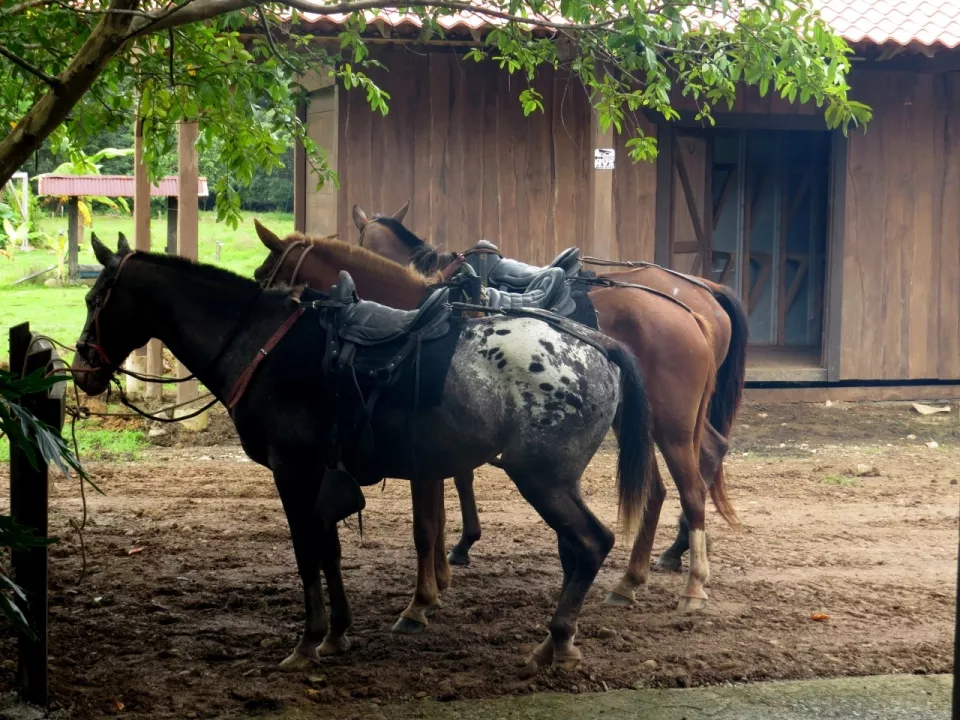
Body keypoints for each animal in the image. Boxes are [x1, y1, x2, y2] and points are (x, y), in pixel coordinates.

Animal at [75, 232, 656, 676]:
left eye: (95, 299)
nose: (83, 370)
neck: (263, 346)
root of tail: (593, 344)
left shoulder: (293, 472)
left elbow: (307, 554)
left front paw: (309, 640)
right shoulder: (320, 477)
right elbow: (330, 552)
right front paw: (337, 633)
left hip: (543, 480)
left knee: (592, 542)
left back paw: (557, 639)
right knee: (580, 548)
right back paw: (562, 639)